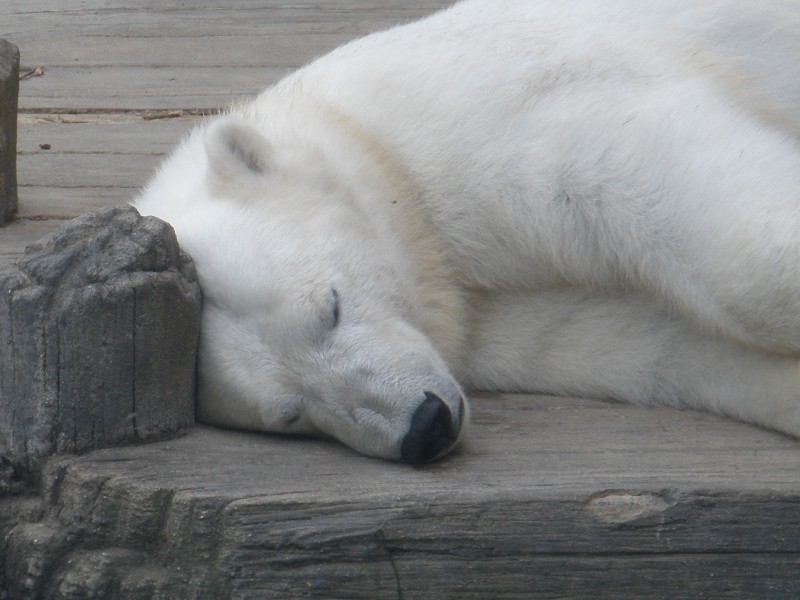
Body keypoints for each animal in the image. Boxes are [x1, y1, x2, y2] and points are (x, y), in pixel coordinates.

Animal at [134, 0, 800, 464]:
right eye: (291, 415)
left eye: (330, 306)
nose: (425, 429)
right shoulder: (484, 312)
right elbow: (637, 339)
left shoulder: (507, 115)